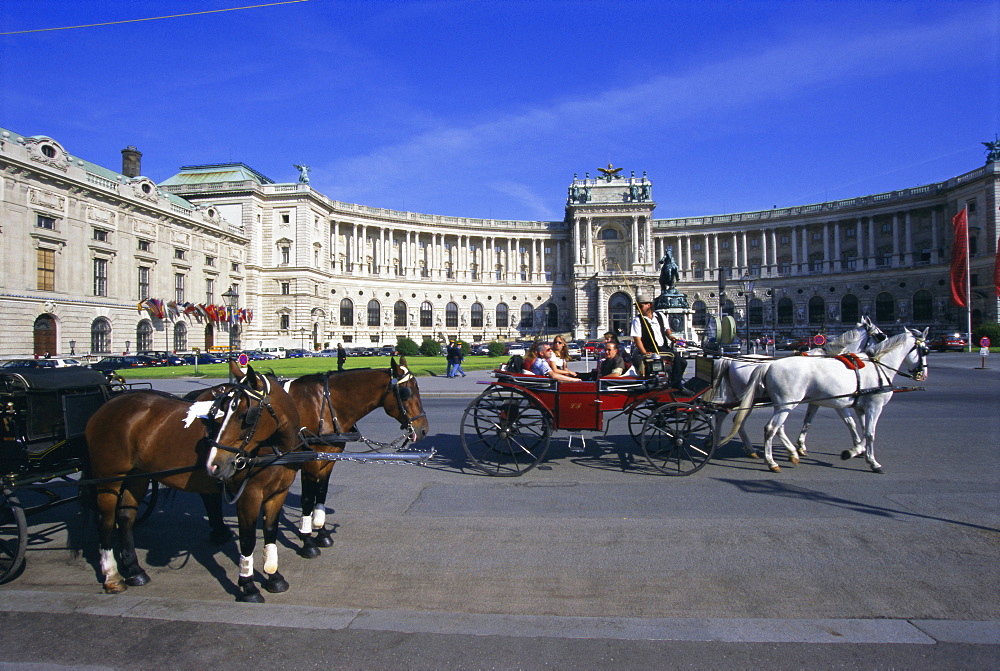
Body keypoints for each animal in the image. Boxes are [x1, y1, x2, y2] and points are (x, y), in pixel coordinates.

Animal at [84, 362, 302, 604]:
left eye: (245, 415)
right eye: (227, 411)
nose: (214, 464)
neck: (274, 447)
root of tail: (107, 405)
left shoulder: (278, 493)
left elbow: (270, 531)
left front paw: (274, 577)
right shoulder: (248, 495)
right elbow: (247, 539)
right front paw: (248, 586)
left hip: (137, 476)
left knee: (125, 517)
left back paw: (134, 571)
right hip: (109, 477)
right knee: (106, 520)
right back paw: (112, 576)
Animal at [708, 318, 888, 460]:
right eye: (880, 335)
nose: (879, 352)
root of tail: (731, 360)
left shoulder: (818, 401)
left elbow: (808, 421)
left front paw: (800, 446)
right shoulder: (836, 400)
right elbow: (850, 422)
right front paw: (858, 447)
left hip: (740, 396)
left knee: (725, 415)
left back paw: (719, 442)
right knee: (740, 419)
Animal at [724, 328, 924, 476]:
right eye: (879, 334)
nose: (922, 373)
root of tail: (768, 365)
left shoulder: (840, 402)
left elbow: (846, 424)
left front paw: (855, 450)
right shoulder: (868, 404)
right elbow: (868, 431)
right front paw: (868, 459)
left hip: (776, 403)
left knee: (756, 423)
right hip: (777, 402)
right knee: (766, 426)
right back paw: (770, 461)